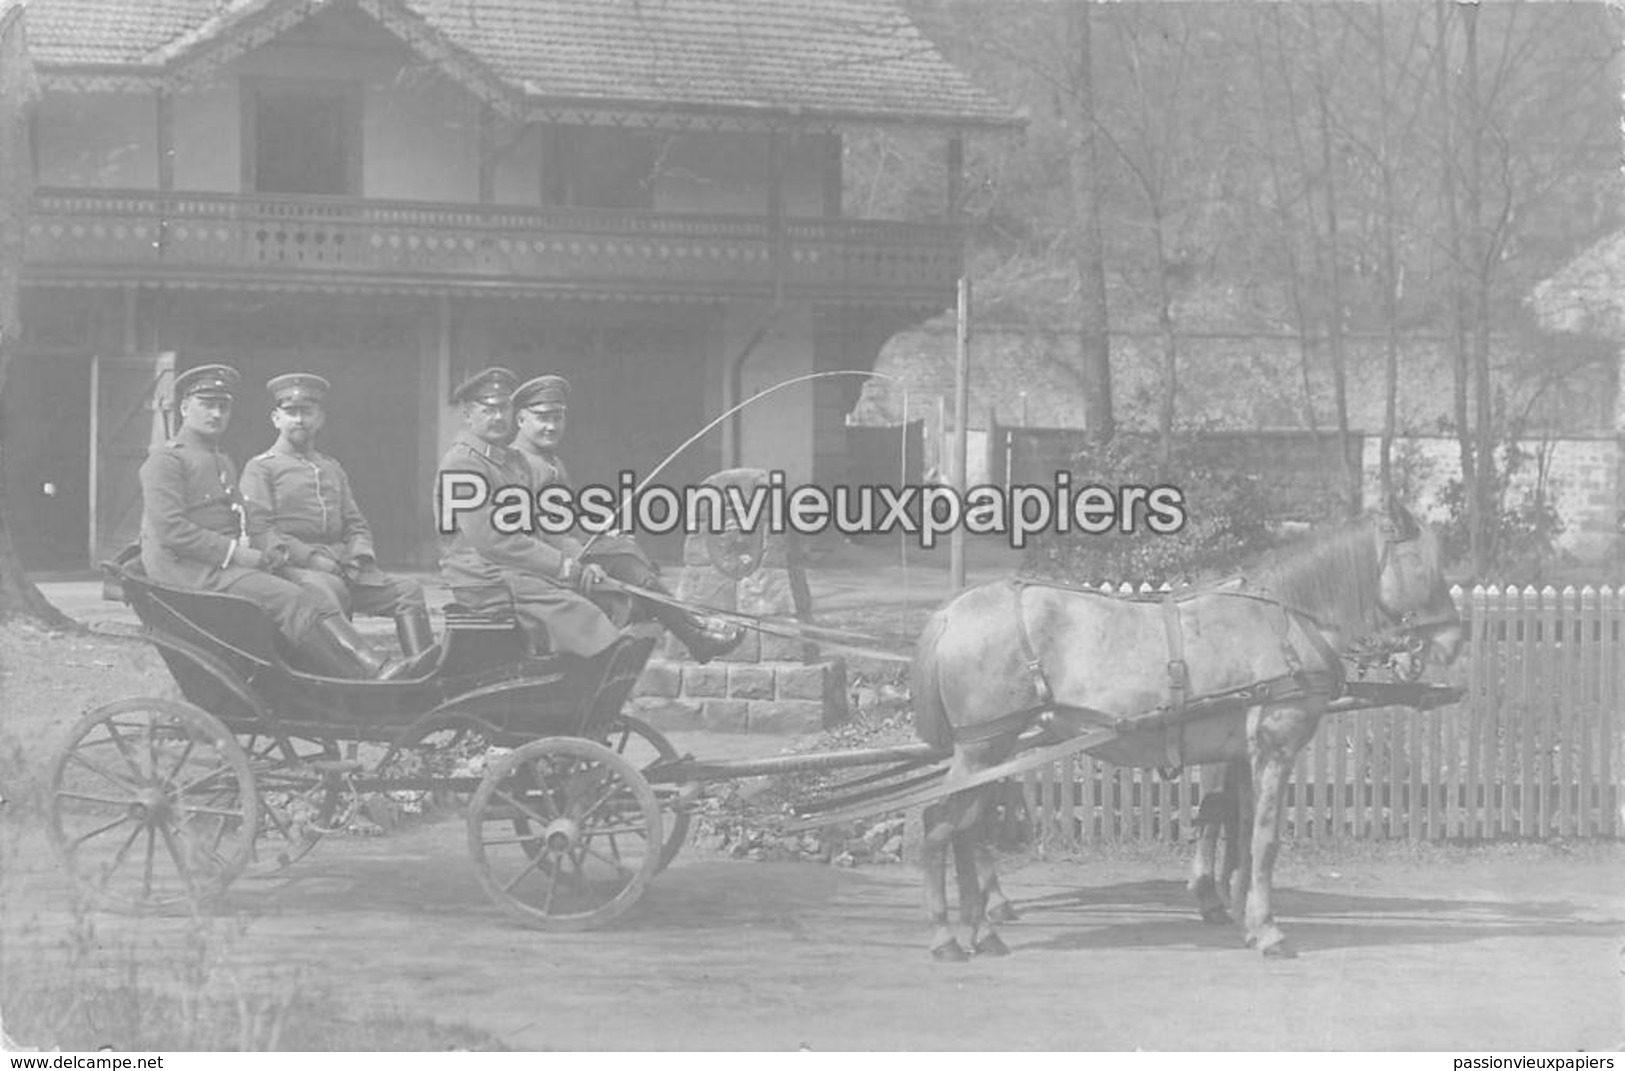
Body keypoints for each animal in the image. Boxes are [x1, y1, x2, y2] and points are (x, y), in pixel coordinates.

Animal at [916, 497, 1462, 962]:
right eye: (1422, 563)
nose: (1454, 641)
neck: (1285, 622)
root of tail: (952, 612)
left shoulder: (1243, 754)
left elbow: (1238, 831)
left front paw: (1241, 914)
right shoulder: (1275, 750)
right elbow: (1264, 841)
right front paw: (1267, 930)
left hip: (996, 752)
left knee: (965, 829)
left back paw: (982, 931)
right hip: (985, 748)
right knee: (941, 824)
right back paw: (947, 936)